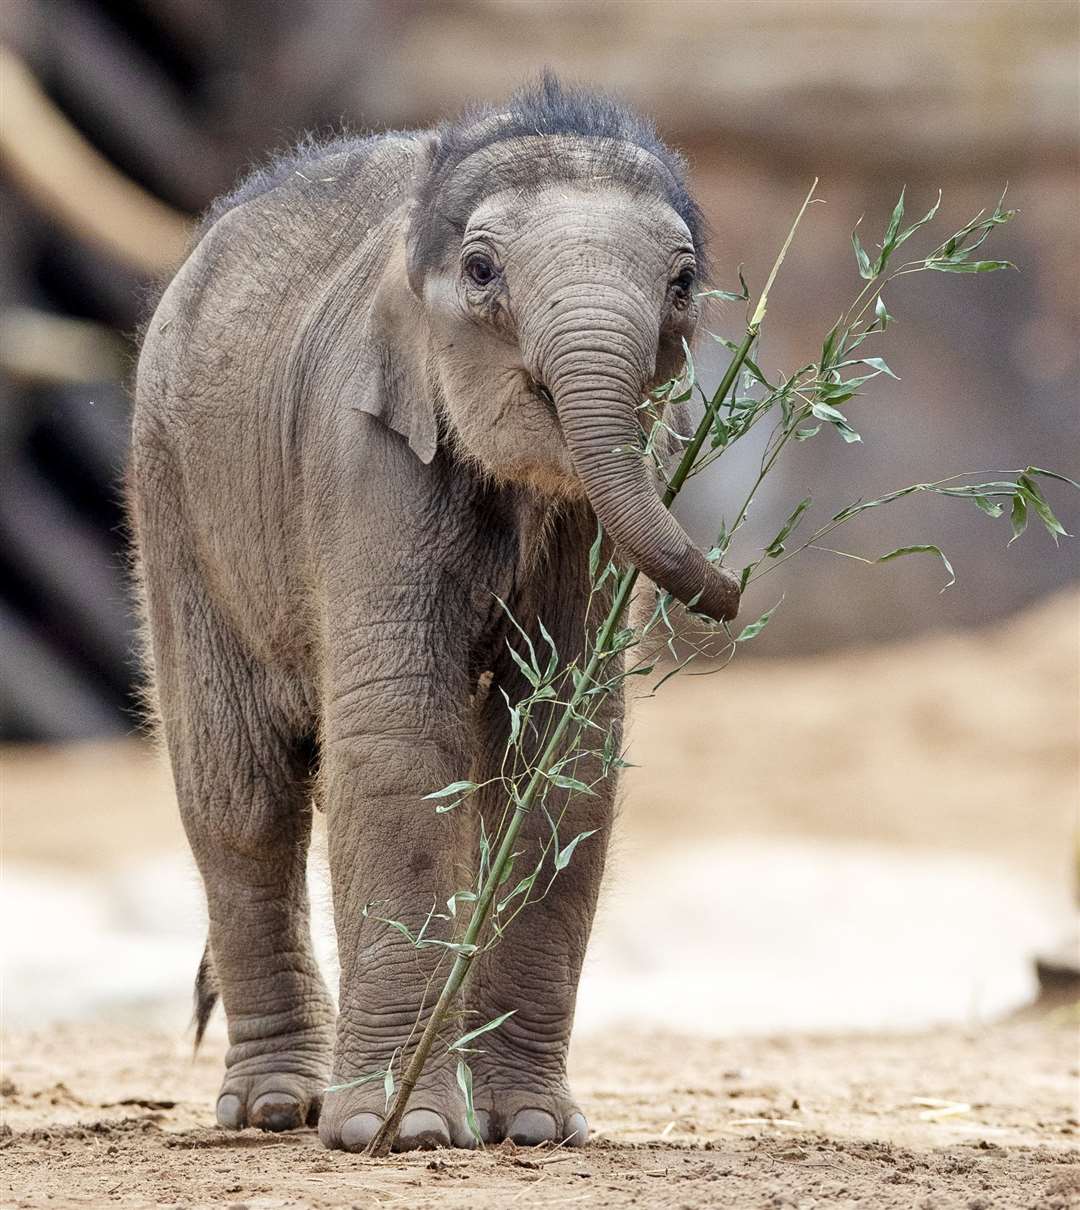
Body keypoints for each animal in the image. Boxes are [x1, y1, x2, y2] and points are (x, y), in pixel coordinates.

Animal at [126, 75, 735, 1151]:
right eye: (483, 270)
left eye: (682, 282)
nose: (735, 591)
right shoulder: (361, 449)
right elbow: (402, 738)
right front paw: (398, 1132)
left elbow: (564, 750)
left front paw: (529, 1129)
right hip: (173, 502)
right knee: (240, 795)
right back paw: (276, 1110)